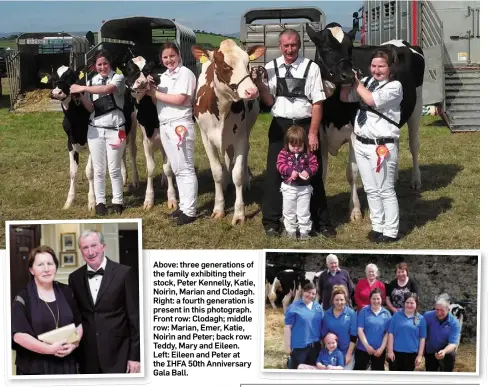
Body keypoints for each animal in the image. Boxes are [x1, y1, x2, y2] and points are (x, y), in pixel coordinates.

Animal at [49, 65, 139, 211]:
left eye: (71, 77)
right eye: (53, 79)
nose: (57, 92)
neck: (76, 120)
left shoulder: (92, 144)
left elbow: (90, 172)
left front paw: (92, 201)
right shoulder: (70, 143)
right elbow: (72, 172)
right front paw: (69, 201)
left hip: (134, 123)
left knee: (132, 151)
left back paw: (135, 181)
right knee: (122, 152)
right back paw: (124, 178)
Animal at [123, 56, 176, 211]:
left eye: (148, 70)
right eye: (130, 69)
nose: (141, 82)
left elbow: (168, 167)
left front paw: (171, 198)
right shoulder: (146, 141)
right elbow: (150, 169)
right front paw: (149, 199)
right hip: (130, 125)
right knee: (131, 151)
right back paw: (132, 179)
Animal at [192, 39, 266, 226]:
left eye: (247, 64)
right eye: (225, 65)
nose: (252, 91)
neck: (223, 107)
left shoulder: (240, 138)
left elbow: (237, 173)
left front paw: (239, 214)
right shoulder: (206, 138)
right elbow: (216, 172)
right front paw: (218, 208)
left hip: (246, 130)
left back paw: (246, 181)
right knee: (226, 156)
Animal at [304, 24, 424, 223]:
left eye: (350, 49)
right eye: (327, 48)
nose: (348, 76)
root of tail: (401, 42)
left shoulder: (355, 133)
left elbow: (352, 172)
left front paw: (355, 210)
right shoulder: (319, 133)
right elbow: (321, 172)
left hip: (417, 108)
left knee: (414, 145)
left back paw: (416, 180)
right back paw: (394, 178)